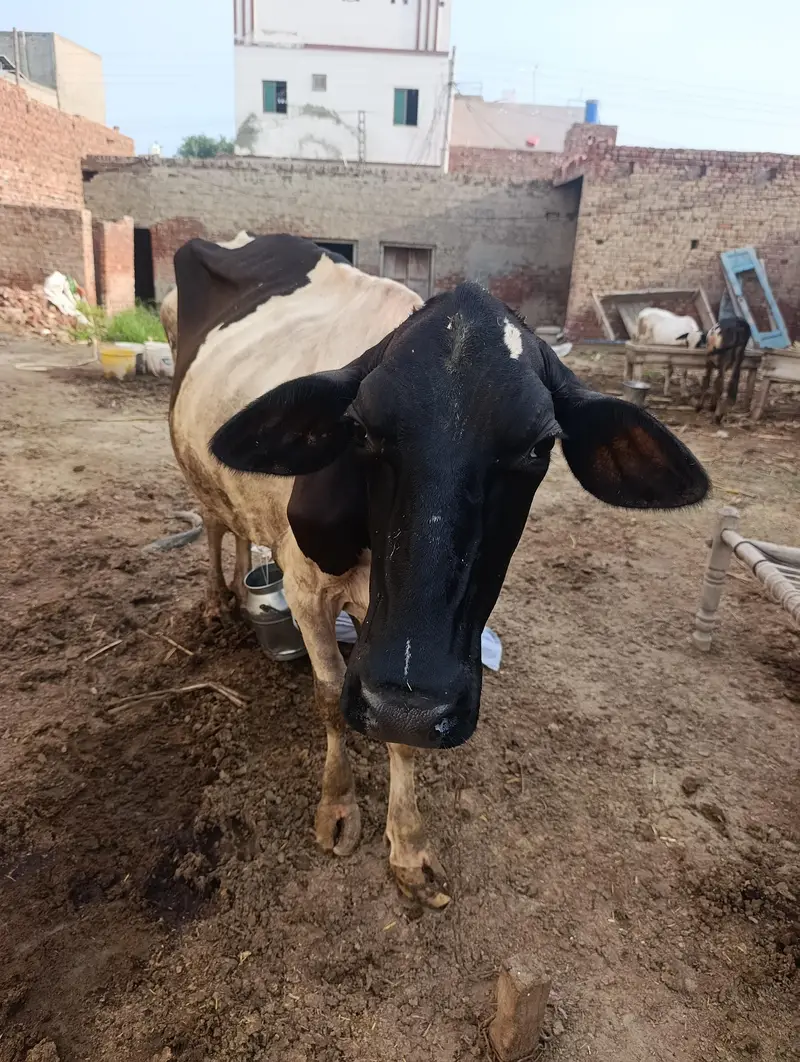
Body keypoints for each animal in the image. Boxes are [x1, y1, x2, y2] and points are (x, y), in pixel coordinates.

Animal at [170, 233, 709, 908]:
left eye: (540, 446)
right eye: (359, 430)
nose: (409, 700)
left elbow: (401, 736)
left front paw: (407, 848)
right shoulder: (307, 587)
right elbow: (329, 697)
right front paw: (338, 807)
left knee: (239, 526)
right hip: (191, 463)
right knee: (214, 520)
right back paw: (218, 600)